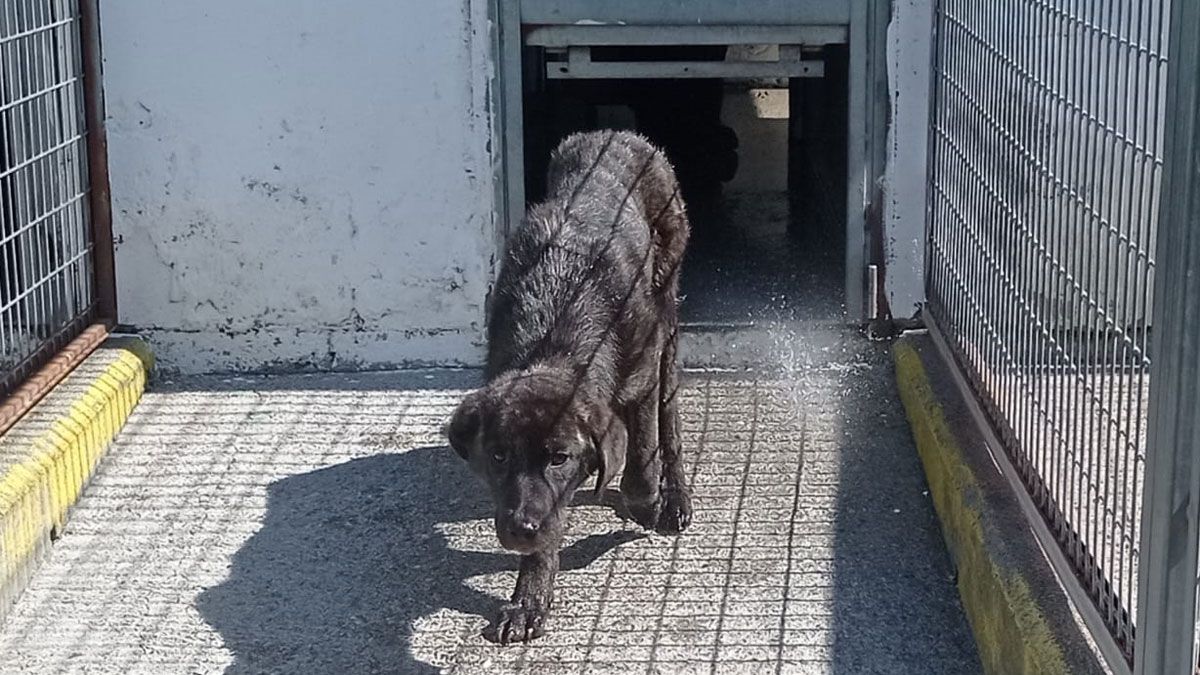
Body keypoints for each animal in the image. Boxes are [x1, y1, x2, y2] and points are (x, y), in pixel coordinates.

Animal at [451, 130, 696, 638]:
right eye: (498, 456)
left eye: (560, 457)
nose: (519, 530)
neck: (554, 336)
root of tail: (616, 135)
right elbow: (551, 512)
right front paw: (529, 598)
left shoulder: (641, 376)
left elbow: (640, 463)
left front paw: (644, 503)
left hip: (667, 309)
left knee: (669, 417)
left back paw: (675, 496)